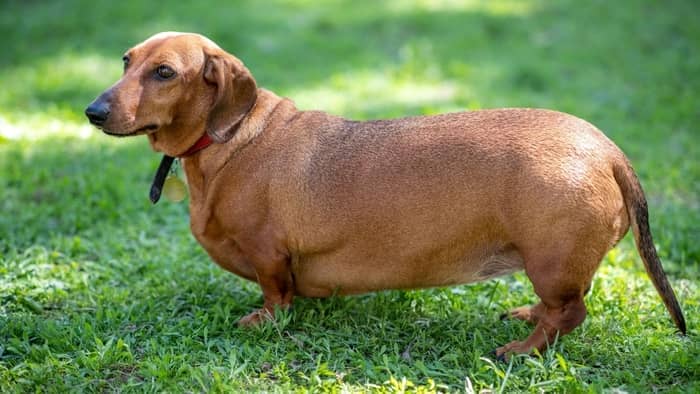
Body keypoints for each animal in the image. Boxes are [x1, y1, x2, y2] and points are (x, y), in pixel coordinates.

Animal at [85, 32, 688, 358]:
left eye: (165, 72)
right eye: (126, 60)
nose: (92, 112)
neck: (231, 140)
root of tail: (606, 148)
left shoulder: (268, 255)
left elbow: (276, 296)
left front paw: (263, 321)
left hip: (551, 261)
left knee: (570, 313)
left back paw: (521, 351)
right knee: (559, 308)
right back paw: (525, 316)